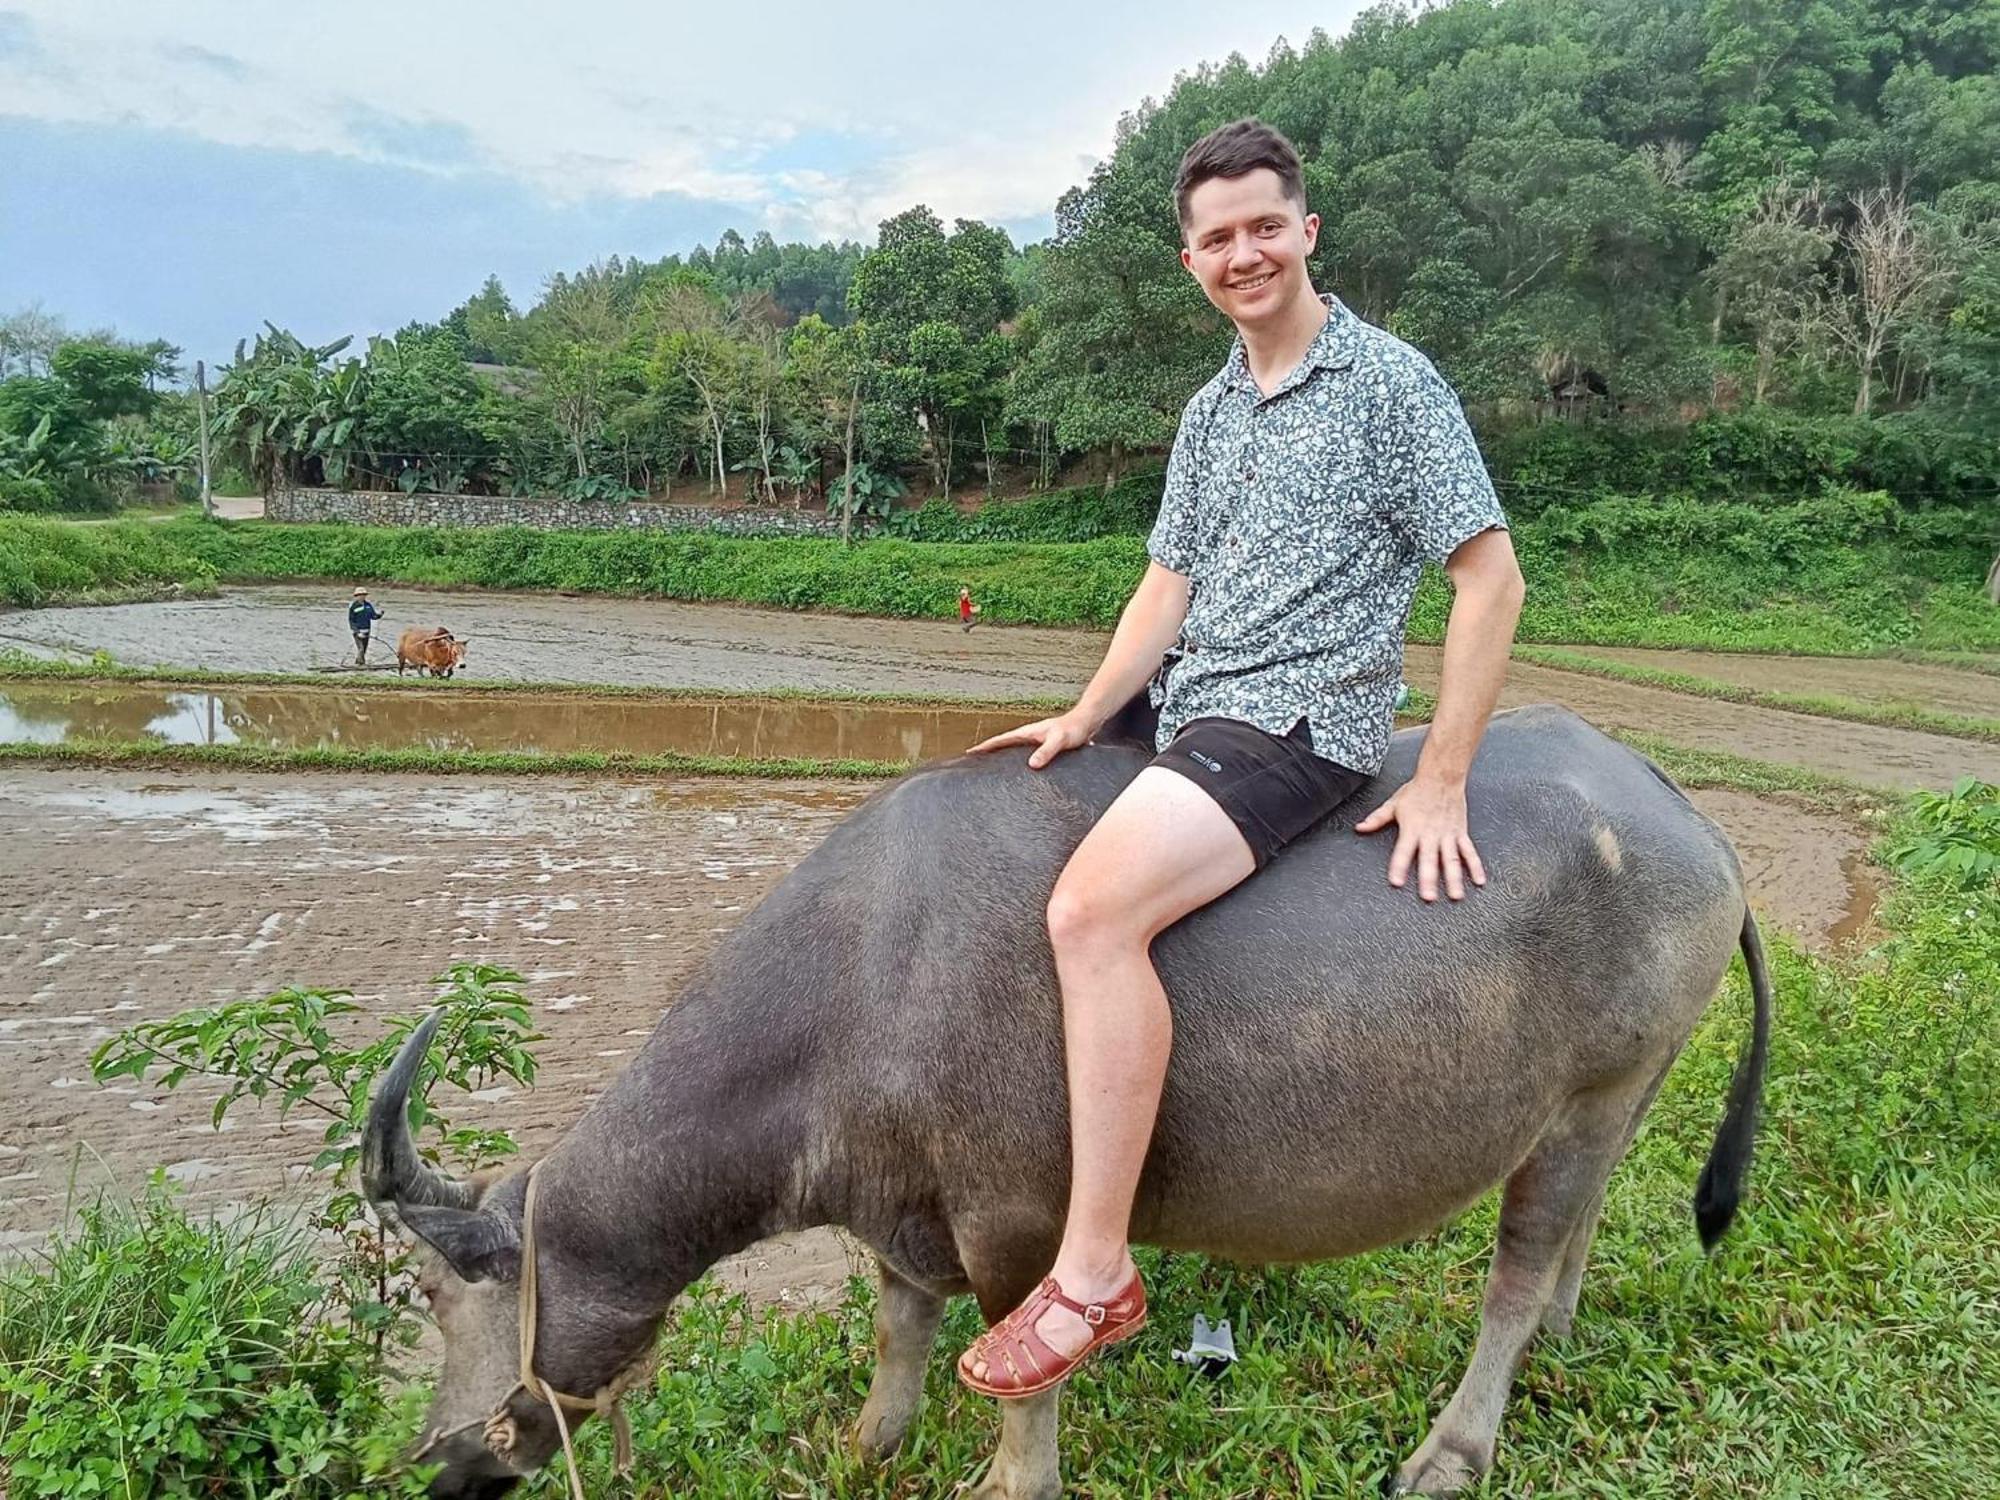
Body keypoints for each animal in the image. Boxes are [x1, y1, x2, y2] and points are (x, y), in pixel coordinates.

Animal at [368, 708, 1776, 1500]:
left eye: (436, 1292)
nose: (440, 1466)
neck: (866, 971)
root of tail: (1682, 814)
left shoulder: (1017, 1217)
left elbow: (1020, 1373)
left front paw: (1009, 1482)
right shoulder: (901, 1213)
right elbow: (898, 1333)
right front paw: (865, 1450)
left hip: (1589, 1096)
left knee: (1515, 1273)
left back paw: (1451, 1452)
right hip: (1620, 1098)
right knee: (1577, 1230)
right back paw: (1559, 1344)